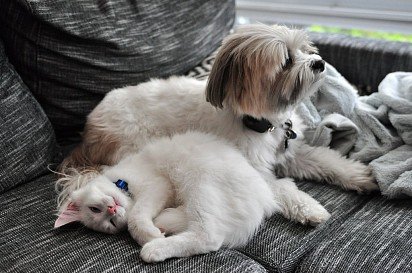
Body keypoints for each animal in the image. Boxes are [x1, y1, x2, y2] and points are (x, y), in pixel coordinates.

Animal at [55, 132, 280, 262]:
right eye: (109, 223)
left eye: (94, 209)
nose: (112, 210)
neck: (122, 181)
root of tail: (265, 201)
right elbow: (134, 218)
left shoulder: (158, 186)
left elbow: (135, 218)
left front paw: (148, 235)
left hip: (201, 184)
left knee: (208, 237)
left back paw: (153, 248)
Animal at [58, 23, 376, 227]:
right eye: (287, 60)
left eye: (306, 49)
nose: (319, 62)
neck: (259, 122)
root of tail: (88, 131)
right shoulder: (250, 170)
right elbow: (283, 189)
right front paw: (309, 208)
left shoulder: (291, 152)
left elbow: (326, 160)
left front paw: (359, 175)